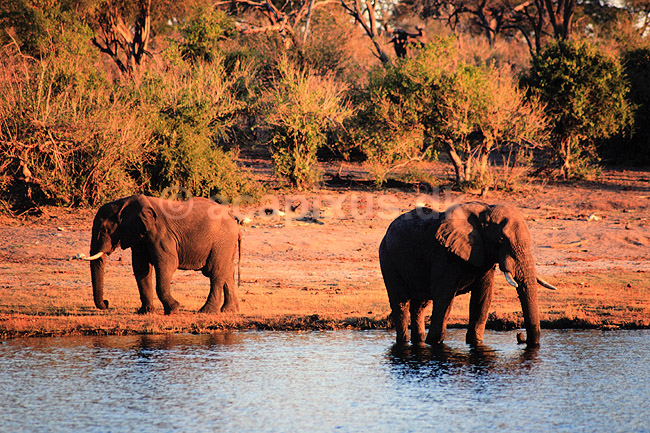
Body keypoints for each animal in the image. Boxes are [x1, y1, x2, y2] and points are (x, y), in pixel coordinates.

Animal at [83, 194, 241, 315]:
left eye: (104, 230)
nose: (106, 303)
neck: (125, 203)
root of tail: (233, 219)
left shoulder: (161, 234)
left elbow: (167, 265)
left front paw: (174, 309)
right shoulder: (141, 237)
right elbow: (141, 269)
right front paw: (145, 312)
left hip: (222, 241)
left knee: (215, 272)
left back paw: (206, 311)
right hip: (226, 244)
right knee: (227, 271)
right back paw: (229, 310)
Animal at [378, 201, 557, 348]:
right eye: (500, 240)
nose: (520, 337)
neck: (485, 211)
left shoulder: (483, 257)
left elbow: (482, 297)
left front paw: (475, 343)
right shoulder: (445, 255)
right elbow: (443, 298)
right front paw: (434, 343)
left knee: (420, 305)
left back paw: (419, 342)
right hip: (387, 258)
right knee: (401, 303)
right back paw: (404, 342)